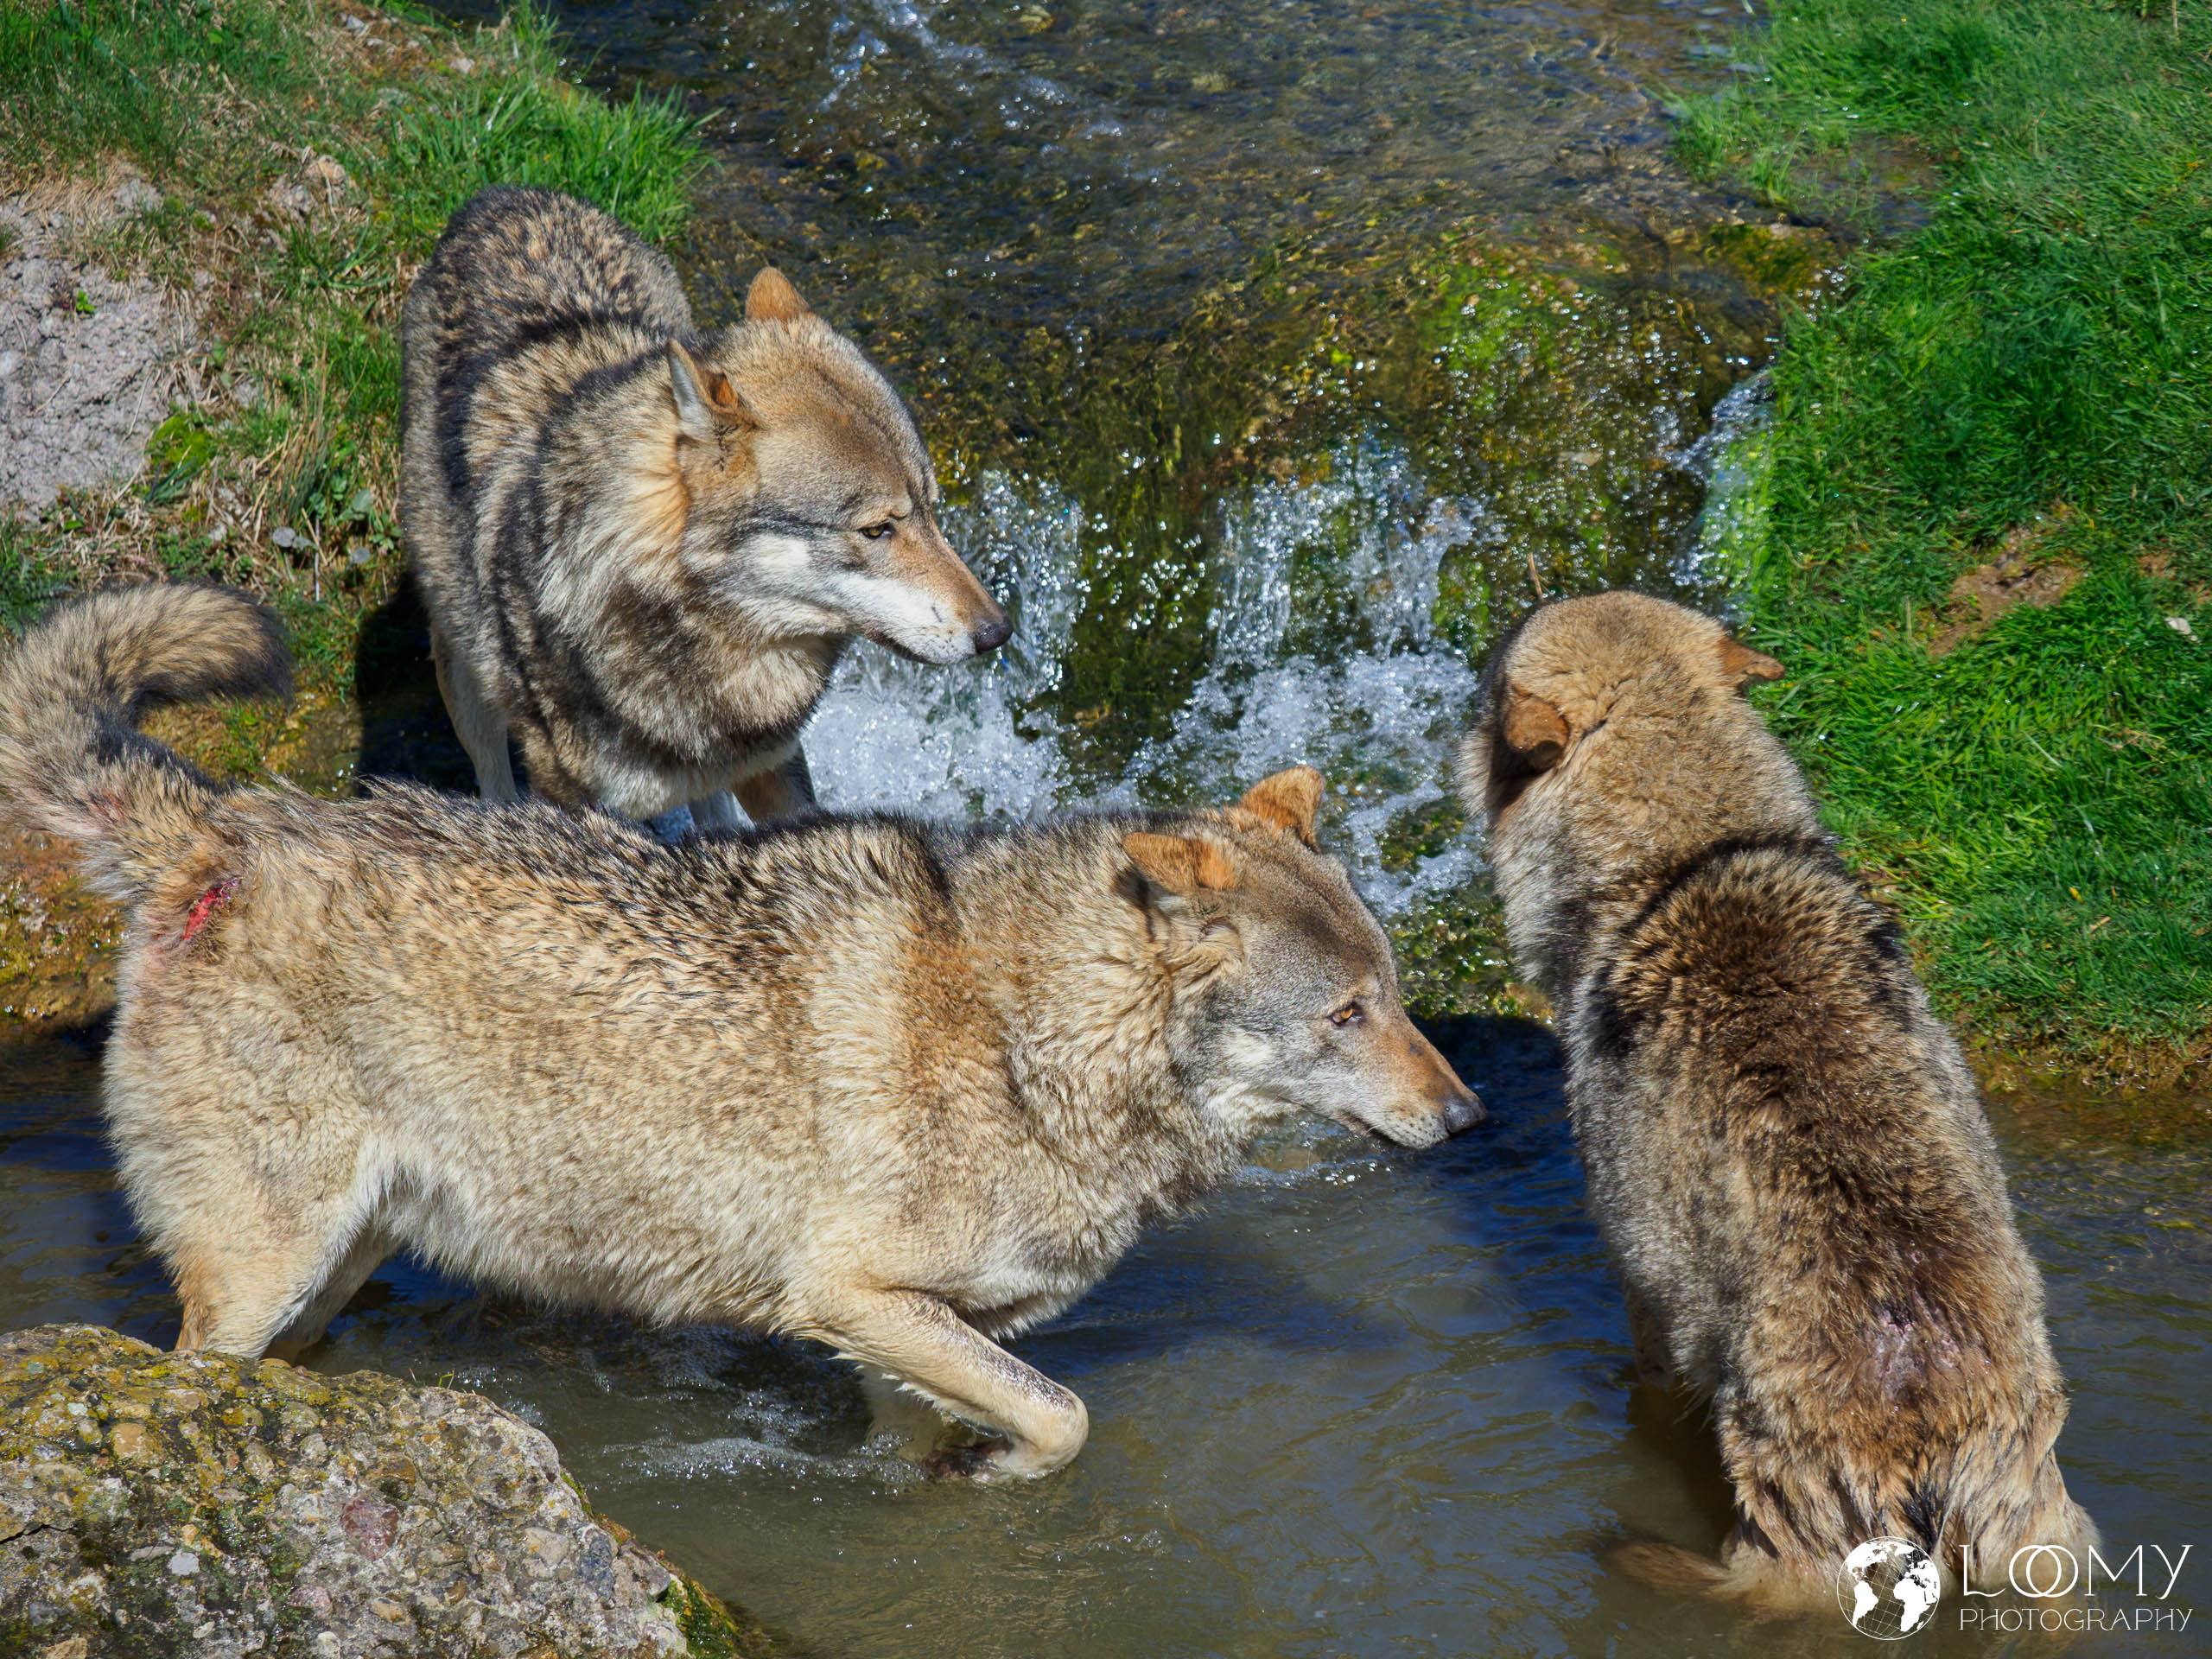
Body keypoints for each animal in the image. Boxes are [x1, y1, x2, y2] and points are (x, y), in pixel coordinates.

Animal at [0, 583, 1480, 1479]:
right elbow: (1065, 1417)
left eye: (1402, 996)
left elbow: (965, 1429)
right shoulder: (849, 1296)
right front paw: (1008, 1469)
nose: (1469, 1115)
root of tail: (222, 829)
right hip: (263, 1275)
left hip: (333, 1269)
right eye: (1348, 1014)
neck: (1028, 1037)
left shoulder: (910, 1335)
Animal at [400, 185, 1008, 830]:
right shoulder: (569, 796)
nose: (998, 632)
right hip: (464, 672)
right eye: (877, 530)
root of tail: (506, 196)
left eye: (933, 510)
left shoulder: (771, 764)